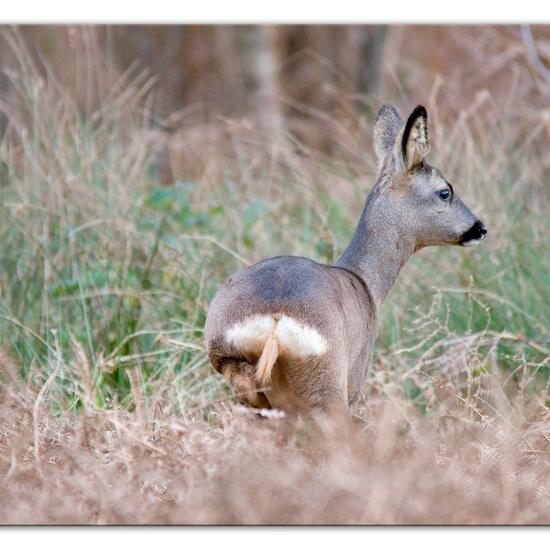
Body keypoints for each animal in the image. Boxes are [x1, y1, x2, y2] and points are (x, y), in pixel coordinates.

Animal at [205, 104, 490, 414]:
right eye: (445, 192)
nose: (480, 228)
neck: (365, 282)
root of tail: (275, 320)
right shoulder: (357, 373)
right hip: (328, 382)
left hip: (242, 380)